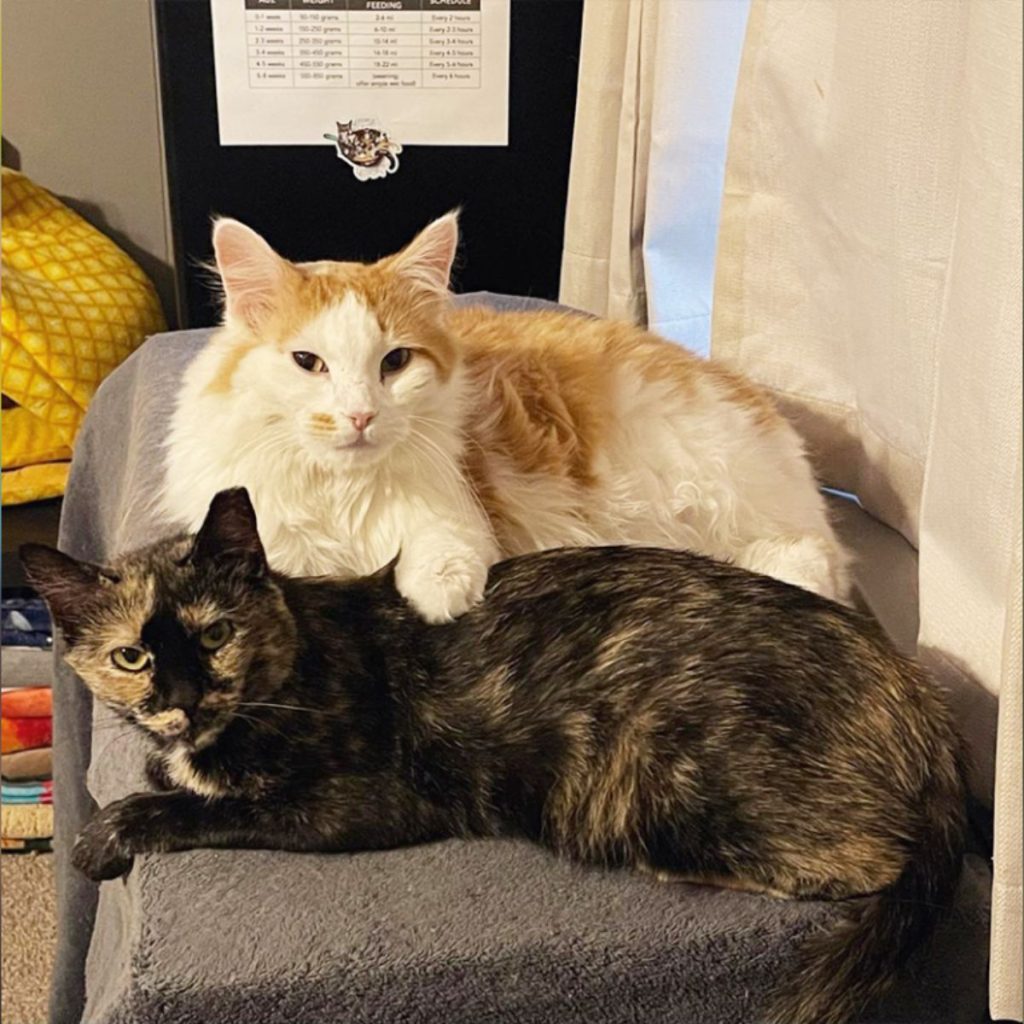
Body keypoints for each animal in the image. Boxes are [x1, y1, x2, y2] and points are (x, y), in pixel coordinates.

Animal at [22, 487, 966, 1024]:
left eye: (216, 634)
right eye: (130, 657)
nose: (180, 699)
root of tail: (916, 695)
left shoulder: (354, 799)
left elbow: (202, 806)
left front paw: (109, 831)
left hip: (661, 778)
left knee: (876, 861)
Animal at [159, 211, 847, 618]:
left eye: (395, 362)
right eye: (308, 362)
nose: (359, 417)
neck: (338, 493)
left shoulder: (456, 515)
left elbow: (441, 561)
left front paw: (434, 601)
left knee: (809, 555)